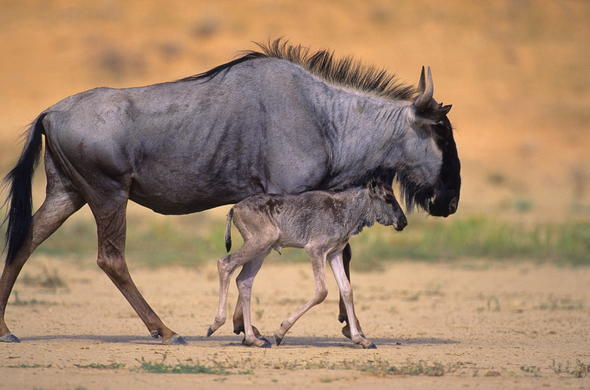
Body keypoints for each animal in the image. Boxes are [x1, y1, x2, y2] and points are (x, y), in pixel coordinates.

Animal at [208, 180, 408, 348]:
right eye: (388, 198)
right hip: (260, 242)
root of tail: (235, 208)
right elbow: (321, 291)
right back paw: (216, 324)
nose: (404, 222)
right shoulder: (315, 250)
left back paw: (253, 339)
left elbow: (346, 290)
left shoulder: (334, 253)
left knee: (244, 281)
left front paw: (360, 339)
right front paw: (280, 331)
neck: (346, 209)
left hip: (262, 250)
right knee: (224, 263)